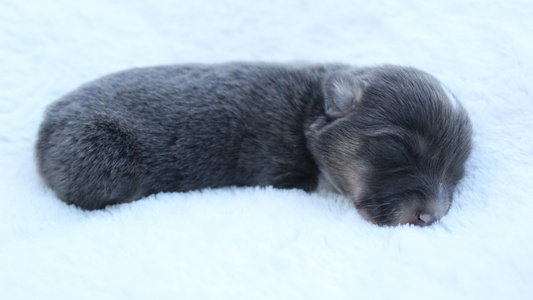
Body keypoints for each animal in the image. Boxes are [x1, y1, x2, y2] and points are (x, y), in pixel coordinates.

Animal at [35, 62, 472, 225]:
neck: (308, 109)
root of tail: (45, 126)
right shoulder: (280, 165)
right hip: (98, 153)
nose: (431, 216)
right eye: (396, 150)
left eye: (458, 173)